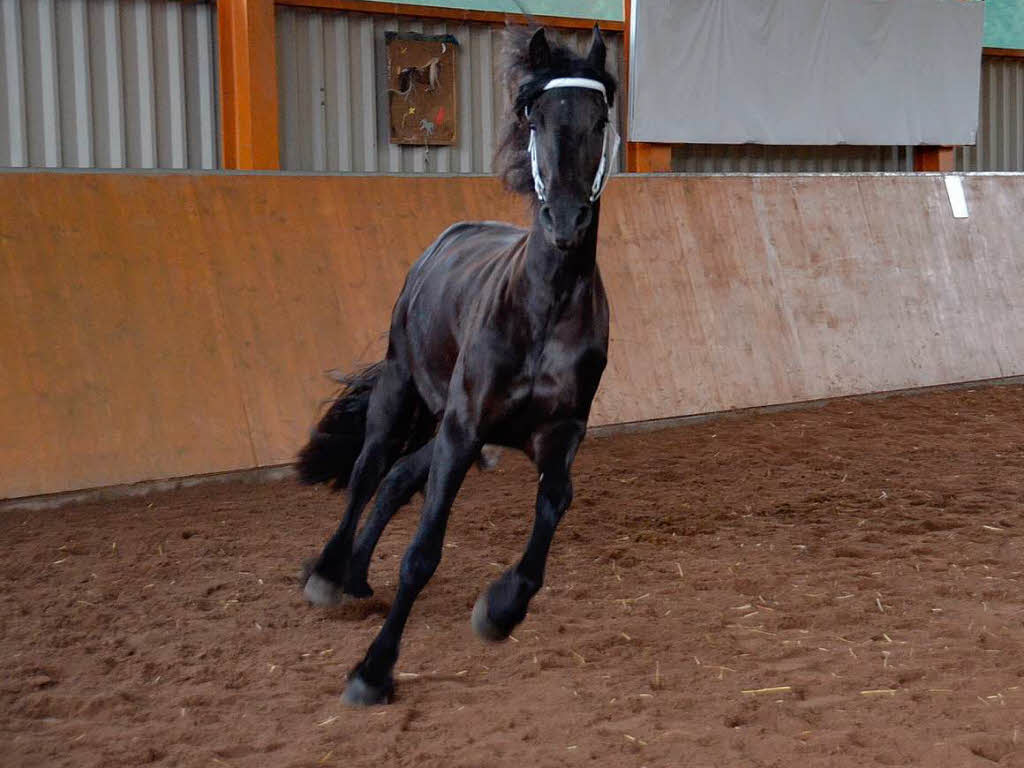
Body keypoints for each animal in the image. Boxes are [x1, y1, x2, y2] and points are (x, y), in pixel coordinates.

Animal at [296, 25, 614, 708]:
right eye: (536, 117)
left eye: (600, 119)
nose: (567, 219)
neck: (543, 307)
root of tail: (442, 241)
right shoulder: (465, 428)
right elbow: (422, 553)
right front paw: (372, 672)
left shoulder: (558, 432)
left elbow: (554, 506)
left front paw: (500, 610)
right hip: (402, 393)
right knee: (369, 471)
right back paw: (329, 573)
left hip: (443, 427)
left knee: (396, 479)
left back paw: (356, 576)